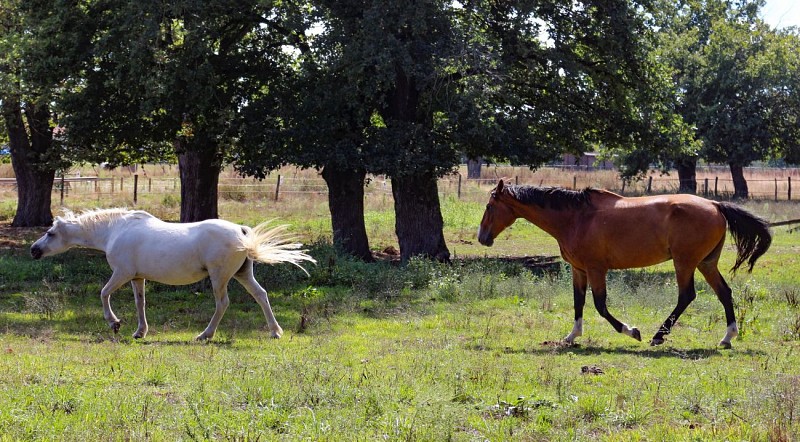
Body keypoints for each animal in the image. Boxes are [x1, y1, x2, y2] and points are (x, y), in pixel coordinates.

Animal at [30, 209, 316, 340]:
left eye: (50, 233)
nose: (34, 250)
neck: (115, 231)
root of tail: (241, 232)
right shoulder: (137, 277)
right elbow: (141, 303)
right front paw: (140, 332)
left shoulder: (122, 273)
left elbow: (103, 294)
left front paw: (115, 323)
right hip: (243, 274)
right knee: (261, 295)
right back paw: (275, 331)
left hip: (220, 277)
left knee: (222, 303)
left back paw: (205, 335)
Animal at [478, 178, 772, 348]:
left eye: (489, 207)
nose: (482, 237)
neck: (576, 217)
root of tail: (714, 204)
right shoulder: (579, 269)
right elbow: (578, 302)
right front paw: (571, 337)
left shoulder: (596, 269)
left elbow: (600, 306)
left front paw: (631, 331)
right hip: (706, 263)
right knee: (724, 293)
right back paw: (727, 338)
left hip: (685, 262)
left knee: (686, 295)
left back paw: (658, 336)